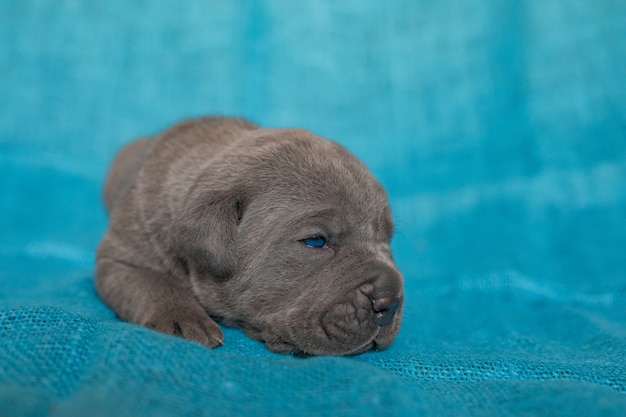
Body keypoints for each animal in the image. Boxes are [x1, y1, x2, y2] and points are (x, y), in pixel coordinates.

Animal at [95, 116, 402, 354]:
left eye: (386, 240)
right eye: (315, 241)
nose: (388, 303)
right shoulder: (119, 258)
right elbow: (152, 283)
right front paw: (182, 320)